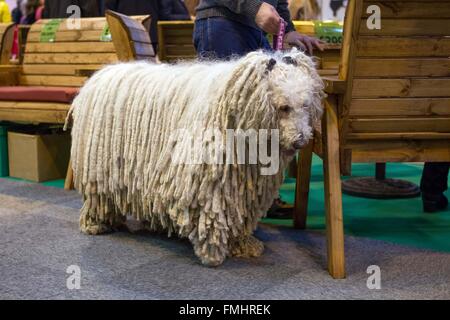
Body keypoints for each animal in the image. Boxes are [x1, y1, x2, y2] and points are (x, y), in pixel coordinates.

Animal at [67, 48, 324, 266]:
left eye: (305, 105)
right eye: (283, 107)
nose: (300, 140)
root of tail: (101, 74)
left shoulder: (244, 188)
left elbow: (241, 215)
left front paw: (243, 244)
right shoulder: (208, 182)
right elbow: (211, 216)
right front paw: (212, 252)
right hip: (98, 167)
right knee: (98, 197)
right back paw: (96, 224)